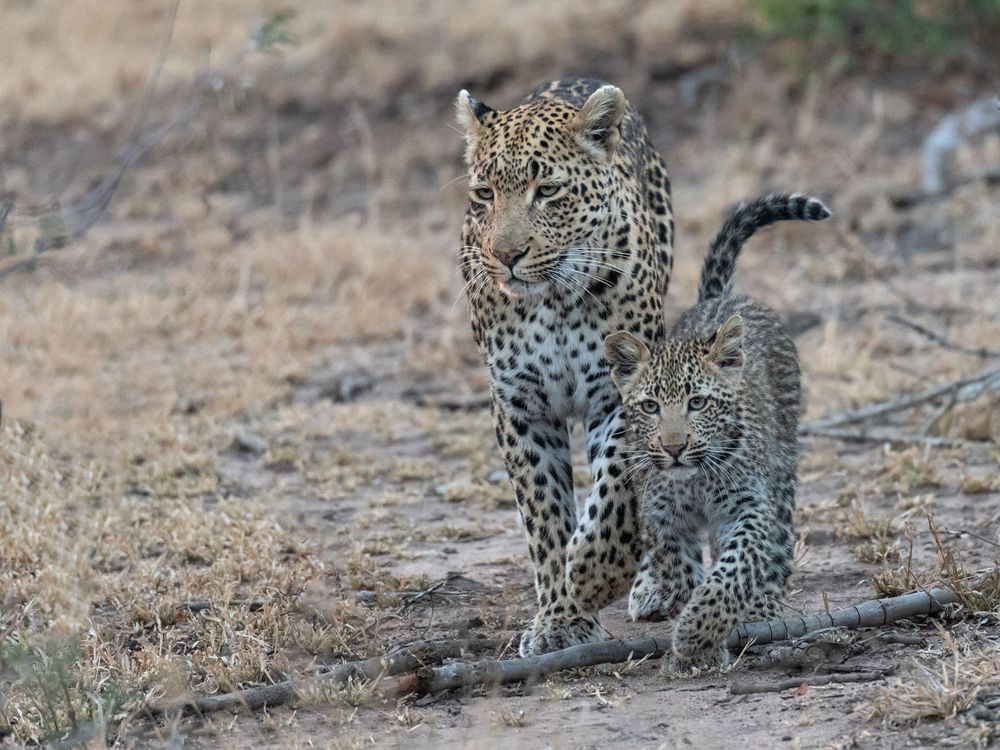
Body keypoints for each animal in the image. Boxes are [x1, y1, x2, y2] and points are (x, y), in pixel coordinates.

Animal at [458, 78, 676, 656]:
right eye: (484, 195)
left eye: (548, 191)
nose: (506, 255)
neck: (551, 302)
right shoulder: (520, 408)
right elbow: (545, 514)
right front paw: (561, 618)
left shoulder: (618, 396)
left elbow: (617, 494)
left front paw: (596, 574)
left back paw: (658, 584)